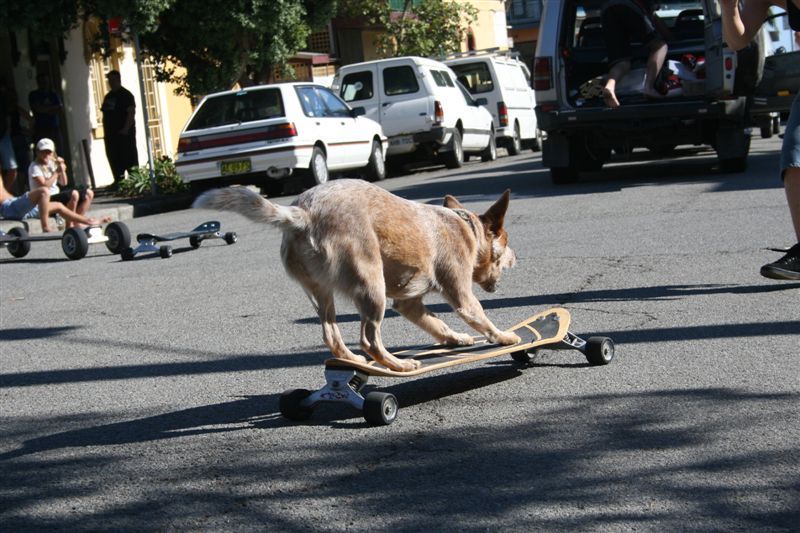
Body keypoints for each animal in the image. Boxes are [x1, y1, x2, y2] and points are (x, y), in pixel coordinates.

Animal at [194, 179, 520, 370]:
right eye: (506, 242)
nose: (517, 258)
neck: (467, 227)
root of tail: (303, 214)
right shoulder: (460, 294)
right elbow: (481, 318)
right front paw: (505, 337)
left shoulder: (408, 304)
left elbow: (435, 323)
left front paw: (456, 339)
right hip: (371, 286)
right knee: (369, 338)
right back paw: (398, 365)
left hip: (321, 292)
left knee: (331, 334)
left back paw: (353, 361)